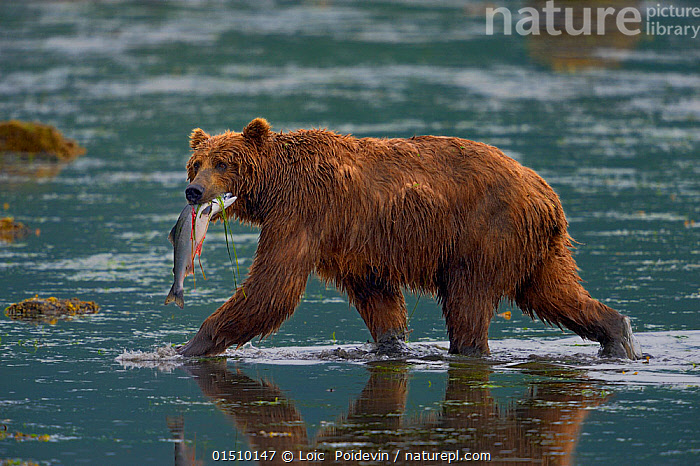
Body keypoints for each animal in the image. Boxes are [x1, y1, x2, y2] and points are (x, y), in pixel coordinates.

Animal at [178, 118, 644, 358]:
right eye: (196, 162)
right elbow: (377, 296)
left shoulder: (306, 212)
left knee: (469, 301)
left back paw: (468, 349)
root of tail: (547, 195)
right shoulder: (351, 243)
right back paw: (618, 335)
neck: (275, 187)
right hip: (536, 248)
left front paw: (189, 344)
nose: (194, 191)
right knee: (554, 292)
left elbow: (272, 288)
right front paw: (390, 344)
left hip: (486, 232)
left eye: (223, 162)